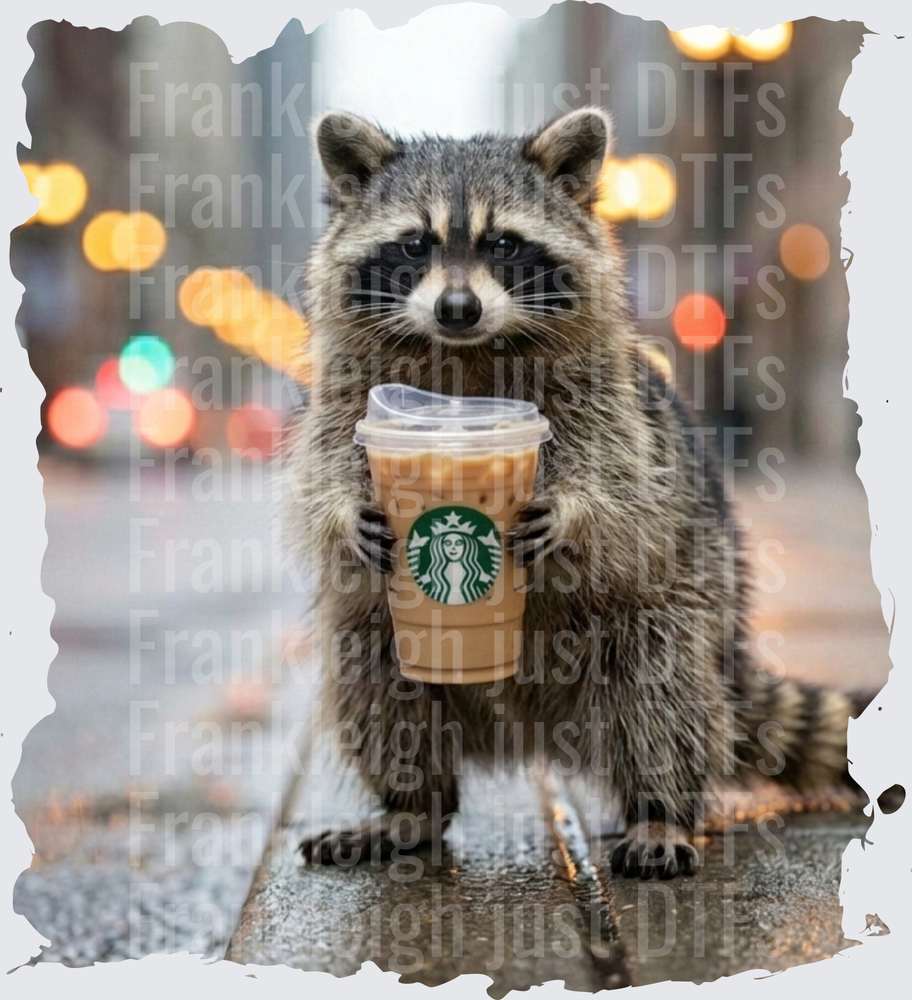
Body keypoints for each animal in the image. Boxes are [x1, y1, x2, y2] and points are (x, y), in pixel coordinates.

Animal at [283, 107, 867, 879]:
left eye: (504, 244)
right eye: (414, 243)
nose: (458, 308)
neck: (468, 351)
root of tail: (528, 730)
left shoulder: (612, 397)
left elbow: (619, 475)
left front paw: (572, 514)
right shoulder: (346, 388)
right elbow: (321, 467)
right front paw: (346, 513)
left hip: (685, 602)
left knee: (661, 686)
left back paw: (660, 809)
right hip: (379, 633)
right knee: (374, 679)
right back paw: (412, 804)